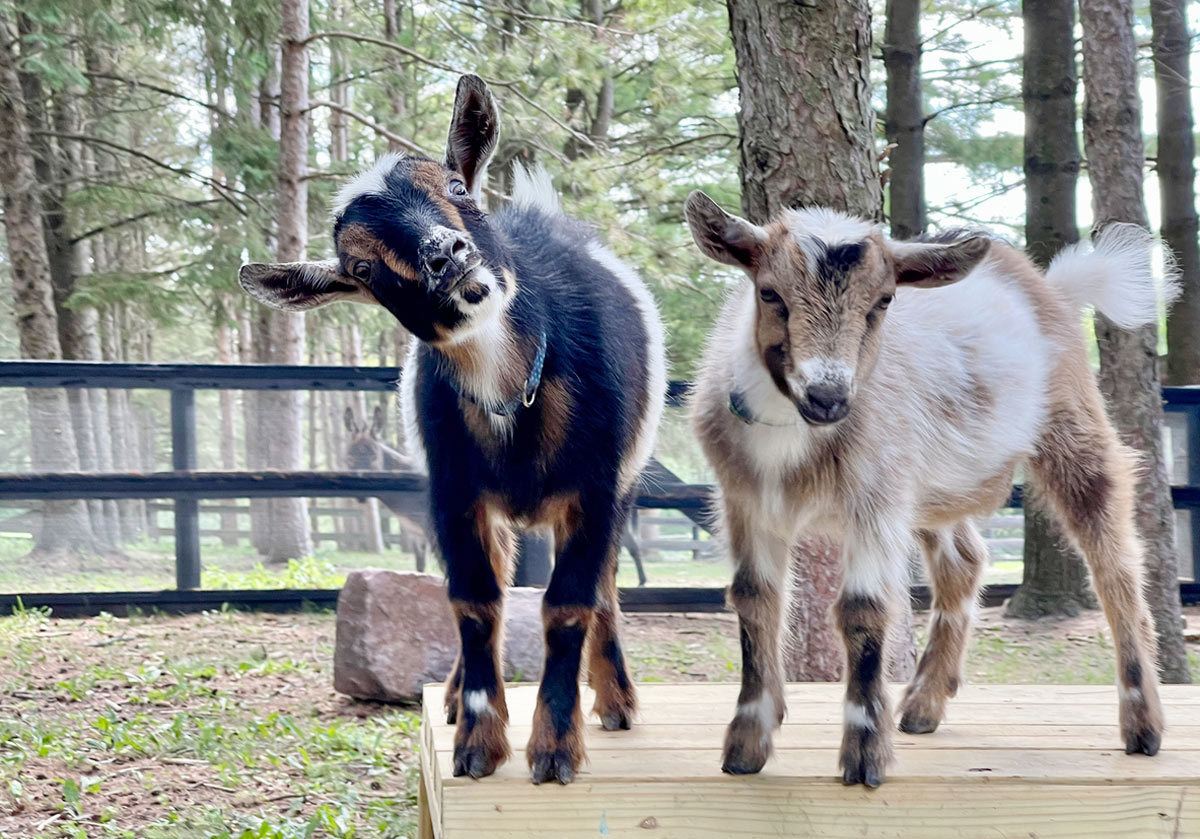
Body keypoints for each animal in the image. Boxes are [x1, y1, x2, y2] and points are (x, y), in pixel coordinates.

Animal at [238, 73, 672, 787]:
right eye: (361, 269)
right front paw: (476, 743)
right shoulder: (452, 494)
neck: (511, 395)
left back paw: (616, 702)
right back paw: (452, 695)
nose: (447, 254)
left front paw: (556, 749)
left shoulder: (597, 486)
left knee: (607, 584)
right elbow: (473, 601)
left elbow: (569, 603)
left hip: (626, 483)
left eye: (457, 187)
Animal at [691, 192, 1176, 787]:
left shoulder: (875, 496)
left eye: (883, 301)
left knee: (1115, 566)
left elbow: (863, 609)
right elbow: (755, 599)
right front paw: (746, 746)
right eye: (768, 292)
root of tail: (1052, 286)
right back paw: (923, 705)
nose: (828, 397)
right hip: (934, 490)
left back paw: (1143, 725)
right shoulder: (746, 501)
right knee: (963, 560)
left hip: (1074, 430)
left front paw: (865, 756)